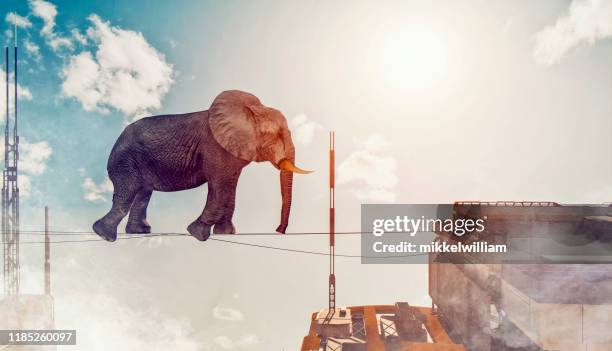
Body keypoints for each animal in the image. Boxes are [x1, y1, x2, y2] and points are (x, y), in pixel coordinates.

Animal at [92, 91, 310, 243]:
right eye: (275, 136)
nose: (278, 230)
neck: (251, 110)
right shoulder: (214, 147)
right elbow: (220, 187)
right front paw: (197, 234)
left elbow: (230, 188)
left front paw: (226, 234)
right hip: (125, 160)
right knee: (127, 192)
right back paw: (105, 235)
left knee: (142, 193)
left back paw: (139, 232)